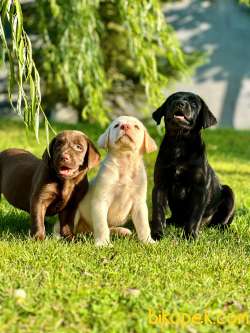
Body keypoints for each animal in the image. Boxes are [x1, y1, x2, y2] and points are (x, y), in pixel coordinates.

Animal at [73, 115, 157, 245]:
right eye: (116, 125)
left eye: (136, 126)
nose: (125, 126)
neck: (125, 162)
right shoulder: (101, 201)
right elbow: (101, 225)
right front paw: (103, 244)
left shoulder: (139, 203)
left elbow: (144, 225)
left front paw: (148, 241)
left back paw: (122, 231)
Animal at [151, 91, 235, 239]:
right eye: (172, 99)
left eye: (194, 104)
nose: (179, 103)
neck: (179, 143)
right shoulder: (160, 185)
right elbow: (158, 211)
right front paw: (157, 234)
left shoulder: (199, 188)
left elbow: (195, 216)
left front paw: (190, 236)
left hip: (229, 193)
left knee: (222, 220)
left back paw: (222, 229)